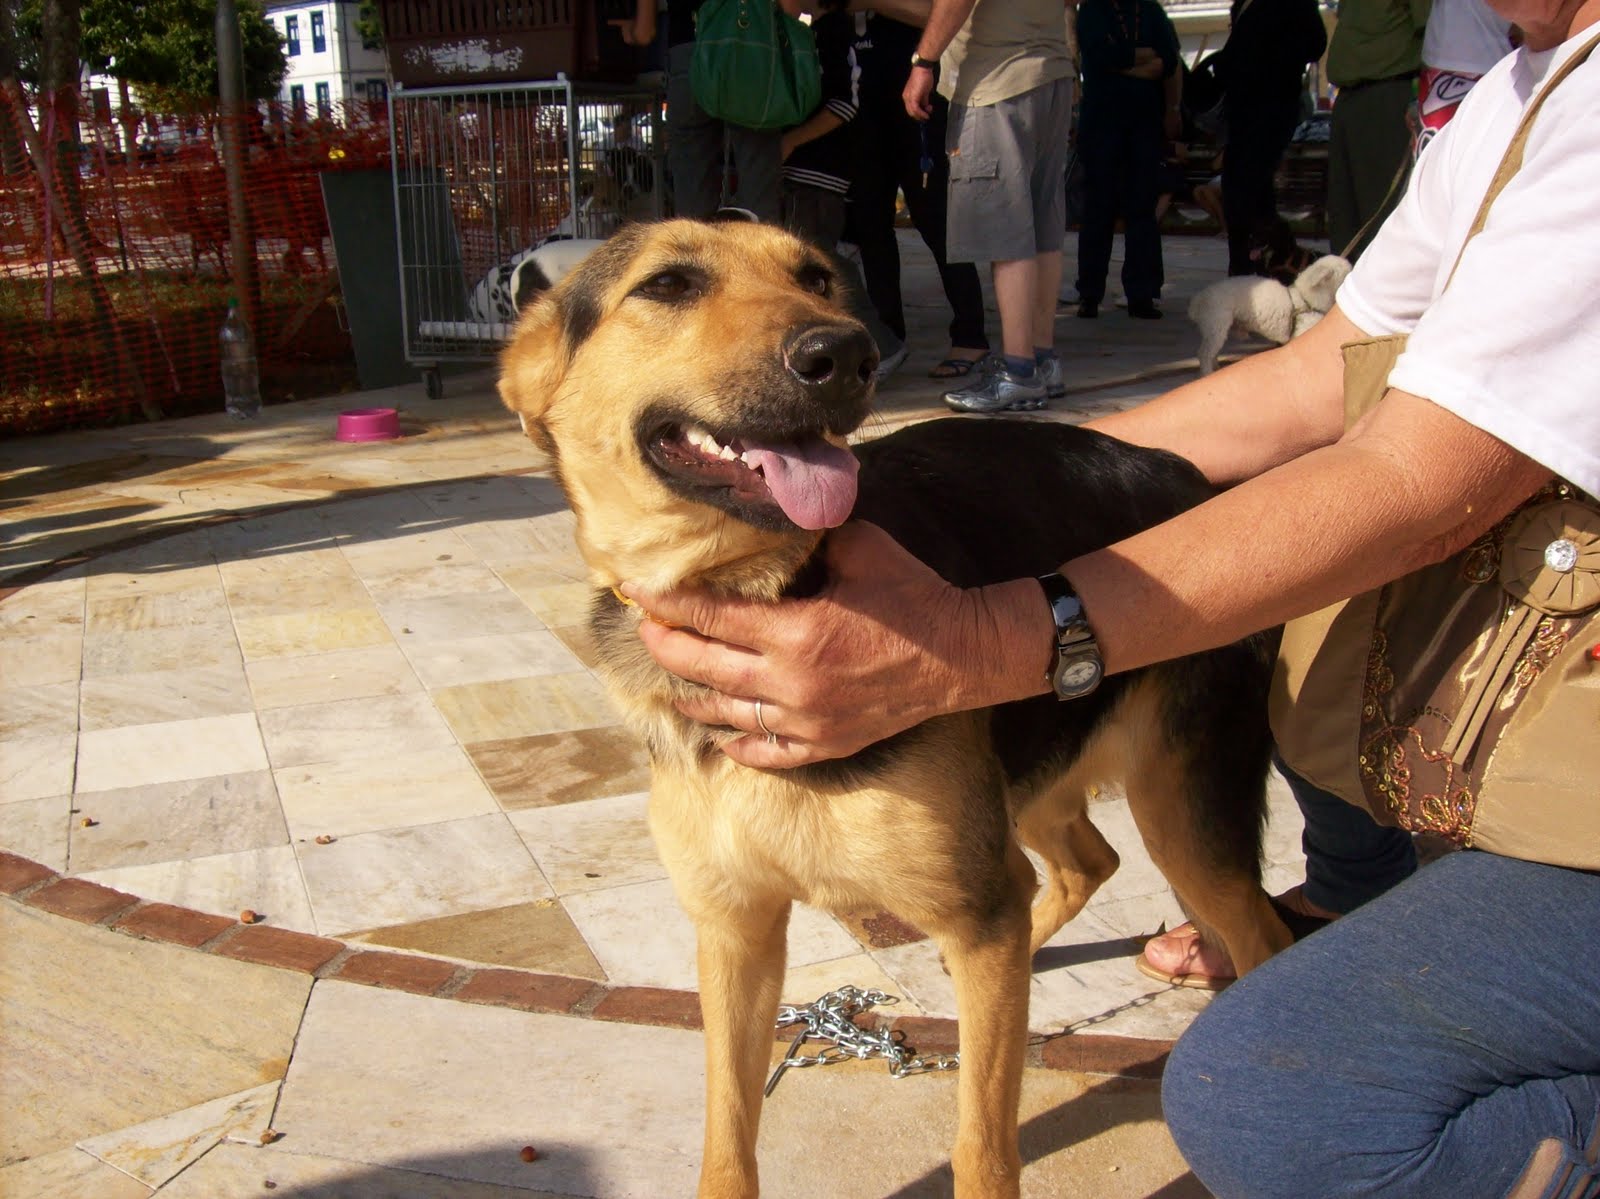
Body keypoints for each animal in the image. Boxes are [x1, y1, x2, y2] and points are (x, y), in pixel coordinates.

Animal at [496, 217, 1286, 1197]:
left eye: (816, 276)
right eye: (668, 283)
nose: (844, 352)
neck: (763, 587)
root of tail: (1191, 478)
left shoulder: (975, 910)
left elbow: (982, 1147)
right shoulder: (735, 931)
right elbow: (728, 1134)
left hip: (1181, 814)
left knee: (1254, 931)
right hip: (1032, 783)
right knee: (1082, 864)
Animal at [1190, 256, 1350, 374]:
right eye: (1346, 275)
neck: (1305, 299)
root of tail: (1199, 299)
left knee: (1212, 353)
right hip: (1216, 324)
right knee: (1204, 354)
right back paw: (1207, 373)